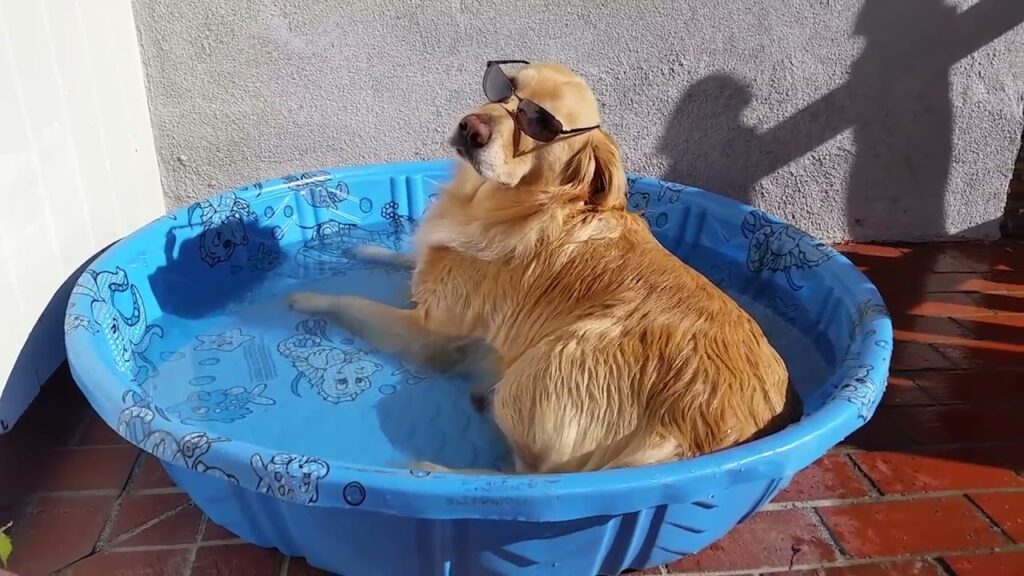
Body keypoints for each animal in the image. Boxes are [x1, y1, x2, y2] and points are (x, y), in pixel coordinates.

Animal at [288, 61, 798, 471]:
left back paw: (435, 467)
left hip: (537, 372)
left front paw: (304, 298)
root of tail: (690, 438)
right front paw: (364, 252)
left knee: (532, 480)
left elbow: (353, 300)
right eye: (505, 88)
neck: (505, 207)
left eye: (539, 124)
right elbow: (407, 258)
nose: (471, 128)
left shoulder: (430, 334)